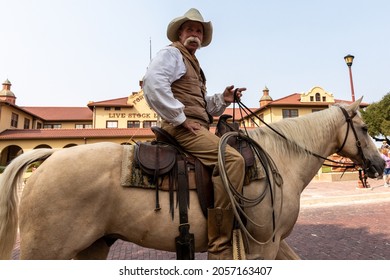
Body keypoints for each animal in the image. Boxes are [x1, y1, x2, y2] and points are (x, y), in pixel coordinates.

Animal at [0, 99, 384, 260]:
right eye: (365, 129)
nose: (380, 163)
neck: (280, 161)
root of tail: (48, 158)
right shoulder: (263, 244)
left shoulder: (273, 243)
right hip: (46, 250)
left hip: (91, 247)